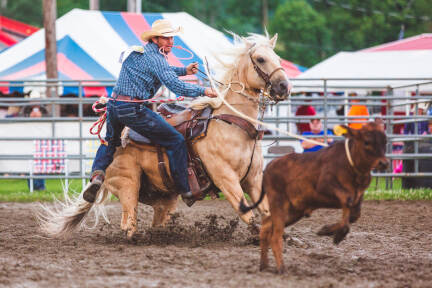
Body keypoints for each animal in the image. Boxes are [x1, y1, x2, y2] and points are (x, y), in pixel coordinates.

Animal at [39, 33, 290, 238]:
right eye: (260, 59)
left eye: (278, 58)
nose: (284, 87)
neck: (231, 124)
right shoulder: (225, 178)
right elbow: (245, 211)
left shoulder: (254, 179)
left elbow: (267, 210)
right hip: (128, 183)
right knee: (128, 223)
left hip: (164, 197)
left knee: (156, 219)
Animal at [240, 122, 388, 274]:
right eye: (367, 142)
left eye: (385, 142)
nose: (384, 163)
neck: (351, 164)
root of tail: (268, 168)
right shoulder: (326, 186)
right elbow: (347, 202)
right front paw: (336, 234)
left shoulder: (358, 195)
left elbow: (354, 214)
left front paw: (327, 230)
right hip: (279, 204)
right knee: (275, 237)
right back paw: (281, 268)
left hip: (292, 211)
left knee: (266, 228)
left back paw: (264, 265)